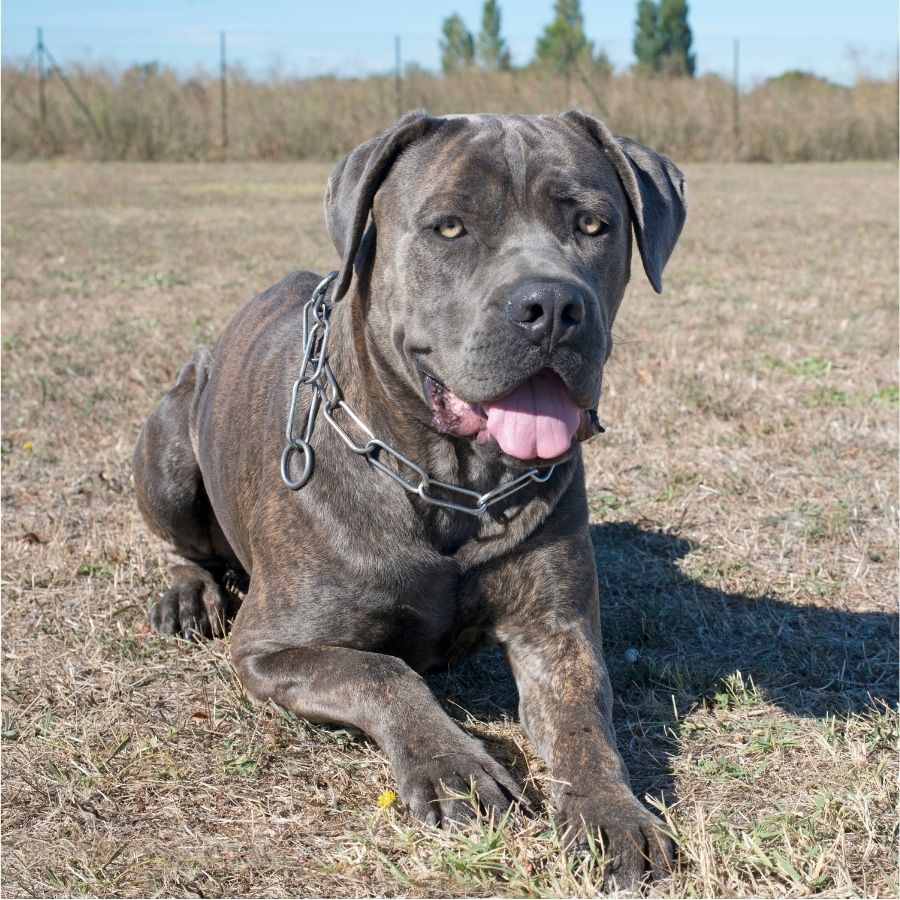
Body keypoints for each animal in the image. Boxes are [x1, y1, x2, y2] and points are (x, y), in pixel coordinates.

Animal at [134, 109, 684, 884]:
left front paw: (612, 812)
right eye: (449, 227)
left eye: (593, 224)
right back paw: (188, 594)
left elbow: (583, 722)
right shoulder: (272, 646)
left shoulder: (556, 633)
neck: (453, 483)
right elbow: (383, 672)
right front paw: (453, 765)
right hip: (169, 447)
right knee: (185, 544)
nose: (551, 304)